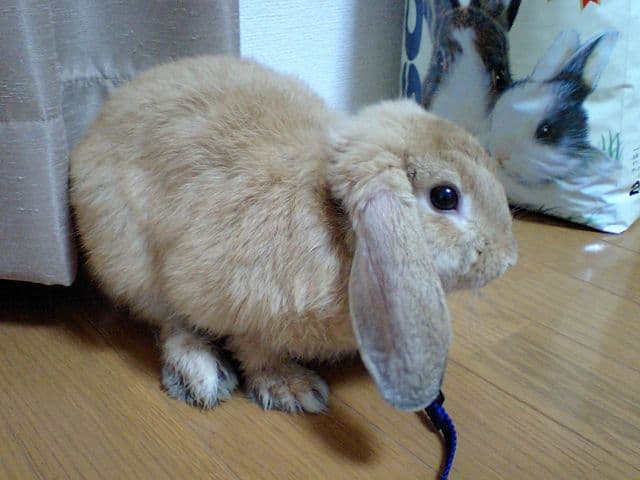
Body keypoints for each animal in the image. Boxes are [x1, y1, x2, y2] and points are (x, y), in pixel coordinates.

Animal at [69, 55, 517, 414]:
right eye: (445, 197)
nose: (507, 259)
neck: (334, 217)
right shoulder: (223, 296)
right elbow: (253, 346)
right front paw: (294, 390)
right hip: (128, 259)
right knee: (168, 322)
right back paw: (200, 376)